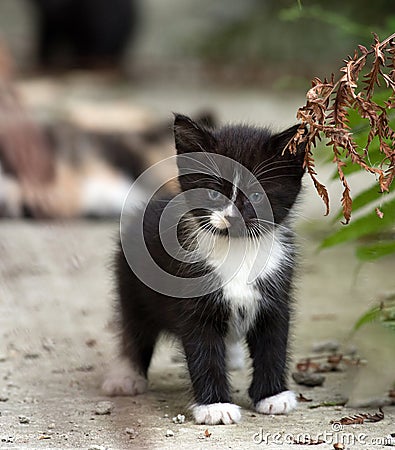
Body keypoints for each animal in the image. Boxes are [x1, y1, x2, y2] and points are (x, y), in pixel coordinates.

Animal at [103, 114, 308, 424]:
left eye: (257, 195)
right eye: (212, 193)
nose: (231, 217)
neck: (237, 249)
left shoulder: (276, 291)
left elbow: (273, 342)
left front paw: (272, 396)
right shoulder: (192, 299)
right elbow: (204, 350)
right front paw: (215, 407)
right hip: (131, 283)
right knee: (135, 326)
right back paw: (127, 375)